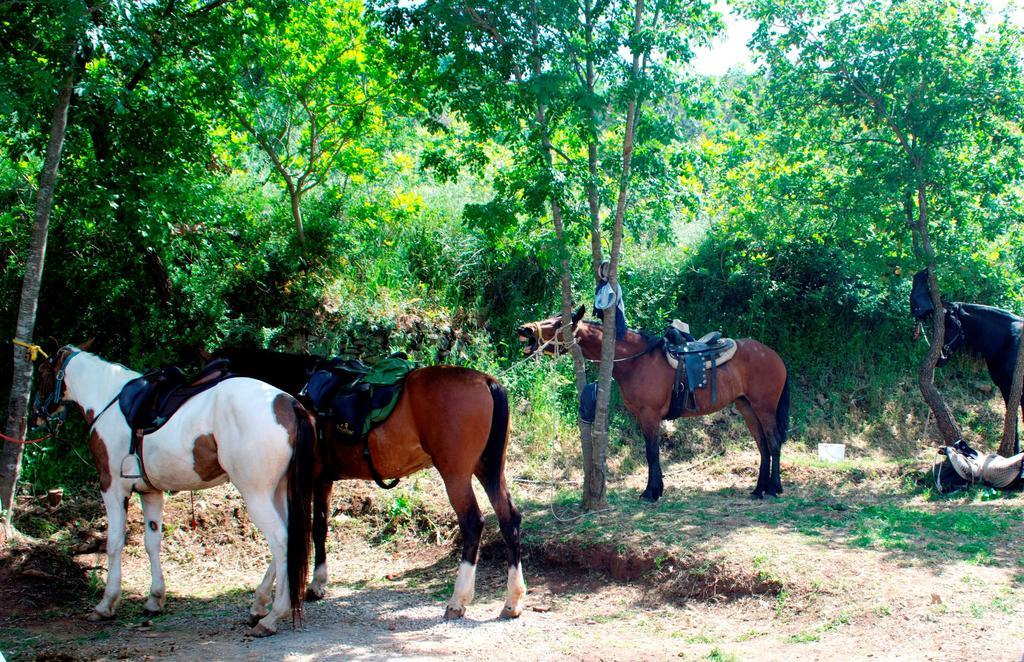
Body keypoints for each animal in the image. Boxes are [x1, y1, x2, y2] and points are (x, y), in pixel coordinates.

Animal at [32, 344, 313, 635]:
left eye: (40, 373)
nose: (35, 415)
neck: (108, 400)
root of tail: (288, 403)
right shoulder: (150, 493)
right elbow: (152, 542)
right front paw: (155, 599)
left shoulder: (112, 488)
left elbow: (114, 543)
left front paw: (106, 604)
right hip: (277, 492)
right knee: (289, 540)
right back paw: (261, 606)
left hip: (256, 495)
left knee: (281, 540)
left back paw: (274, 616)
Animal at [219, 350, 528, 618]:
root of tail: (486, 382)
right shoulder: (323, 480)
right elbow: (316, 527)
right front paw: (313, 584)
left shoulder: (303, 479)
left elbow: (297, 530)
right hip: (488, 469)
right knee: (509, 519)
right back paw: (512, 600)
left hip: (456, 474)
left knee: (472, 523)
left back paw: (458, 599)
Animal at [520, 309, 790, 500]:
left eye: (558, 323)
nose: (525, 329)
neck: (637, 361)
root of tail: (772, 354)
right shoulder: (644, 417)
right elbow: (652, 452)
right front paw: (657, 489)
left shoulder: (649, 415)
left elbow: (651, 452)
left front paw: (651, 492)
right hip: (747, 407)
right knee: (763, 445)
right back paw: (759, 488)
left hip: (764, 407)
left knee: (774, 442)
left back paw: (774, 488)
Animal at [913, 270, 1024, 457]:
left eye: (951, 325)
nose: (940, 358)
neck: (1009, 340)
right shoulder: (1005, 386)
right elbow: (1012, 417)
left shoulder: (1013, 387)